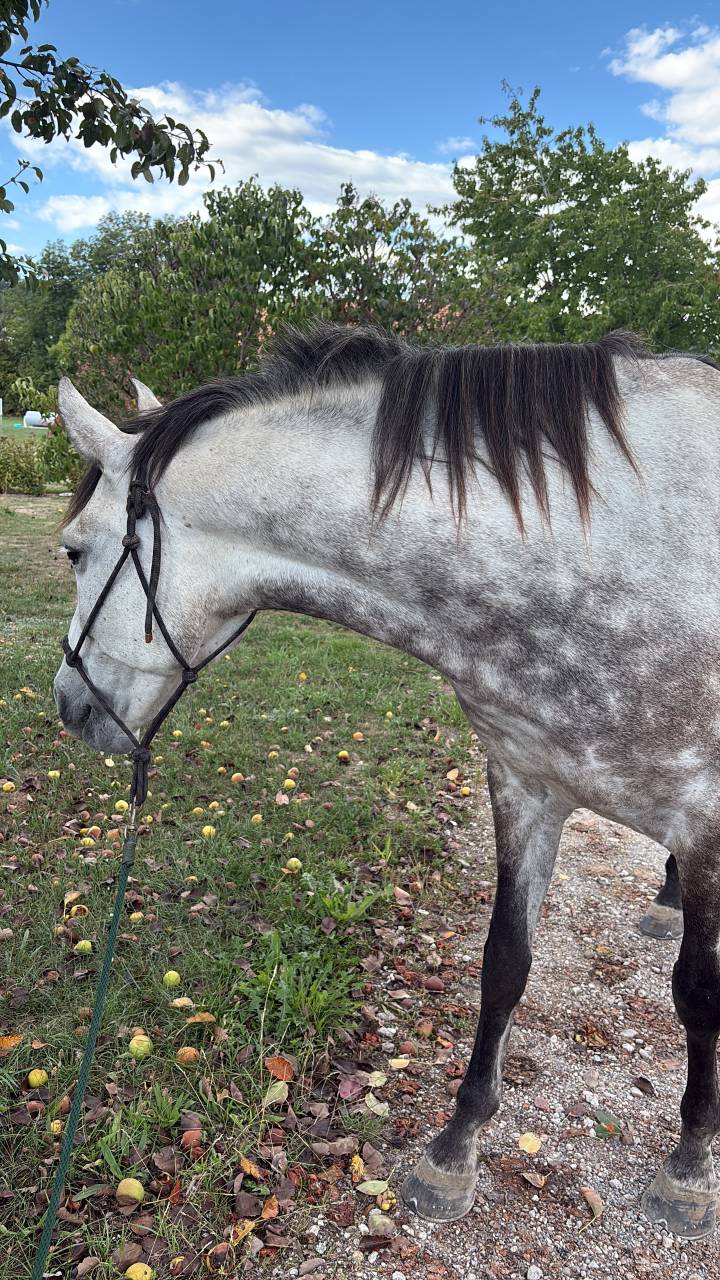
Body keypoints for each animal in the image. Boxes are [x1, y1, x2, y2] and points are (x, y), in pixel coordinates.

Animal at [53, 322, 720, 1238]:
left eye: (74, 550)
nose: (67, 704)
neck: (613, 555)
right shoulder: (527, 786)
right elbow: (504, 965)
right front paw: (455, 1151)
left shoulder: (708, 824)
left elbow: (700, 993)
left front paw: (689, 1165)